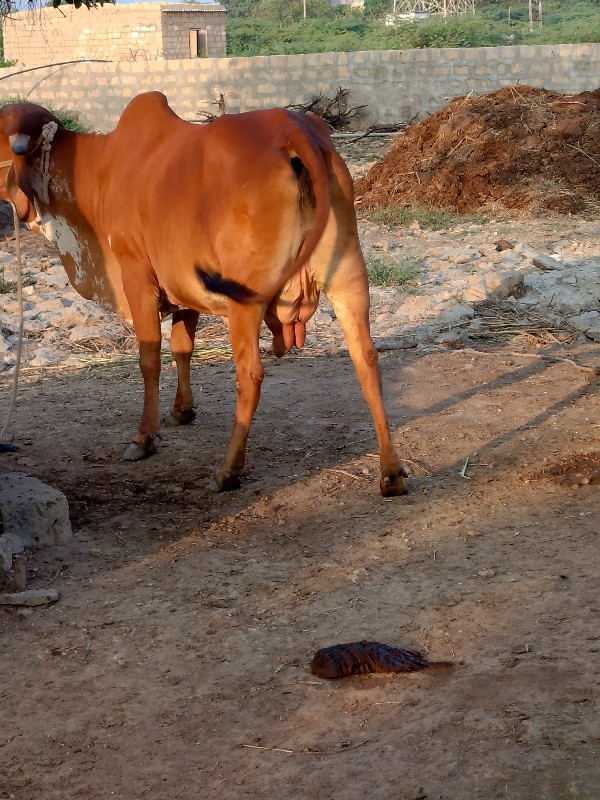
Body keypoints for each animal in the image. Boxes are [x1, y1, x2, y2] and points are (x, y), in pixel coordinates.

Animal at [0, 92, 408, 494]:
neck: (100, 169)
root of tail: (294, 129)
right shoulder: (183, 290)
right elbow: (183, 348)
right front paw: (182, 410)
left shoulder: (136, 277)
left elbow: (150, 359)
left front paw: (145, 438)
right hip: (348, 279)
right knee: (366, 359)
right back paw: (390, 472)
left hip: (246, 301)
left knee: (250, 374)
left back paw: (228, 471)